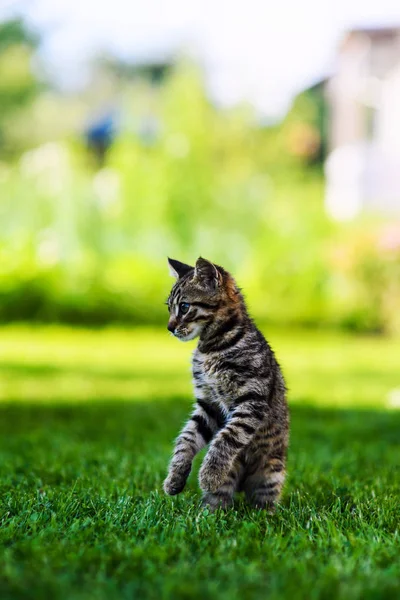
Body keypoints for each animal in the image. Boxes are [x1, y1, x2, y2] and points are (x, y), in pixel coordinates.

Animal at [162, 258, 288, 510]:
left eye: (184, 307)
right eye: (168, 307)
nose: (169, 327)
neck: (211, 348)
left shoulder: (251, 400)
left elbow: (227, 437)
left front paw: (209, 474)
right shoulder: (208, 404)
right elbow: (186, 438)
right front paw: (175, 476)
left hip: (272, 471)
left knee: (264, 501)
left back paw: (265, 515)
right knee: (219, 500)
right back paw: (208, 515)